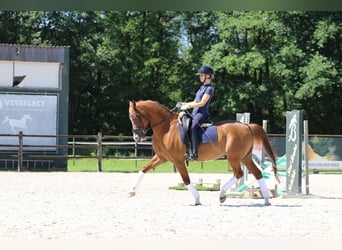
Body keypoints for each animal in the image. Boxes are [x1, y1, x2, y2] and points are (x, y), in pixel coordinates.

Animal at [127, 99, 280, 205]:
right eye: (130, 118)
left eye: (135, 117)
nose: (136, 137)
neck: (166, 129)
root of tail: (247, 125)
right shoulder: (161, 157)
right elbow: (143, 169)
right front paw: (131, 191)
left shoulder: (178, 160)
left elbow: (186, 180)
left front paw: (197, 199)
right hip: (245, 157)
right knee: (257, 173)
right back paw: (266, 199)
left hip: (234, 157)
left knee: (239, 174)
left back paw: (222, 194)